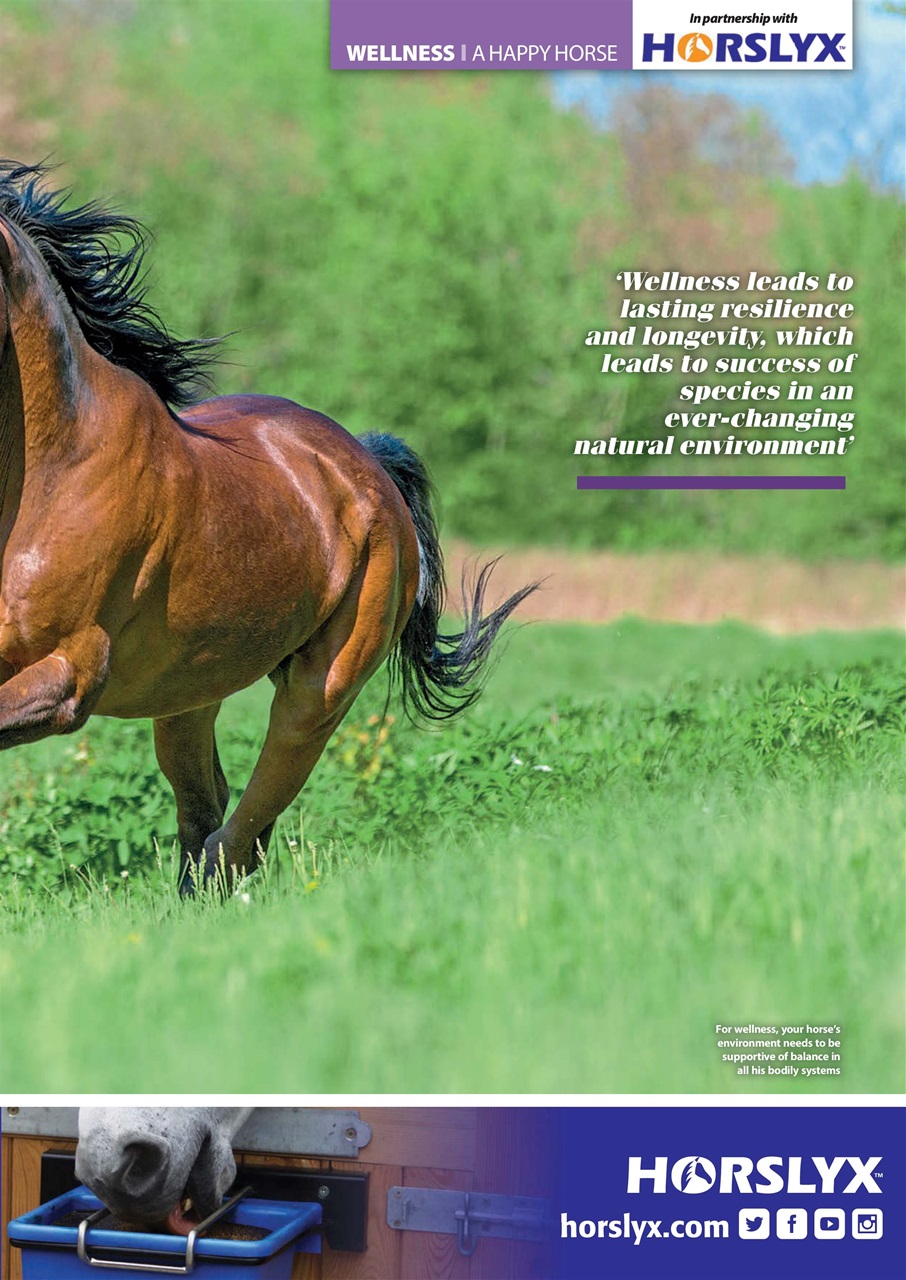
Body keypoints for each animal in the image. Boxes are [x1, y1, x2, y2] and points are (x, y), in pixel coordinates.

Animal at [0, 161, 536, 890]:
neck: (50, 471)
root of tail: (366, 461)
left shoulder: (69, 673)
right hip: (188, 690)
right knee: (209, 805)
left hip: (321, 687)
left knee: (248, 820)